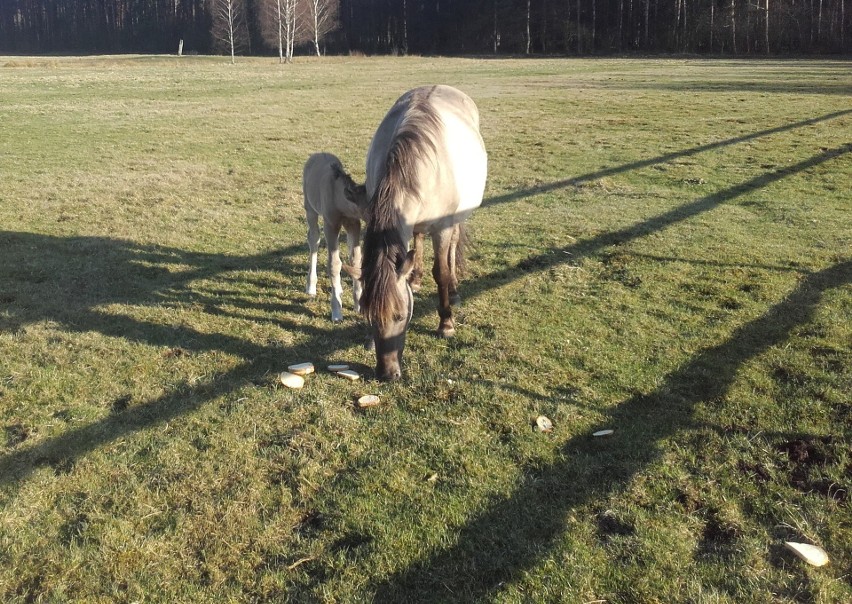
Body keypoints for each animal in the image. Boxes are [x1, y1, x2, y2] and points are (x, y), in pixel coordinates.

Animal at [352, 85, 486, 382]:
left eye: (401, 316)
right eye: (370, 316)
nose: (387, 374)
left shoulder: (443, 227)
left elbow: (442, 272)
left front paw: (446, 323)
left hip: (454, 221)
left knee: (451, 250)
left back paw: (454, 290)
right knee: (418, 240)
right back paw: (415, 278)